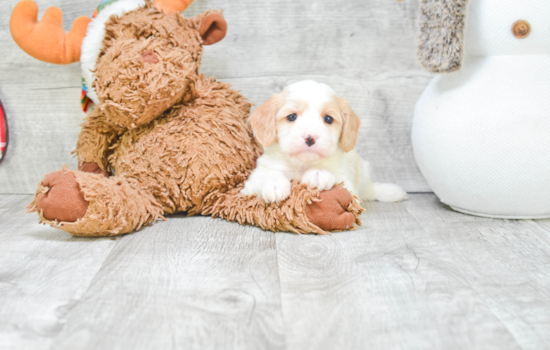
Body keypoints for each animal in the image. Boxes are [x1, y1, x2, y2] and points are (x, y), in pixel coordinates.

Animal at [243, 80, 410, 204]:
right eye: (291, 116)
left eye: (328, 119)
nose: (310, 138)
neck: (302, 165)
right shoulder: (250, 184)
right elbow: (268, 174)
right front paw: (275, 184)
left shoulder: (347, 185)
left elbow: (336, 178)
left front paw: (318, 174)